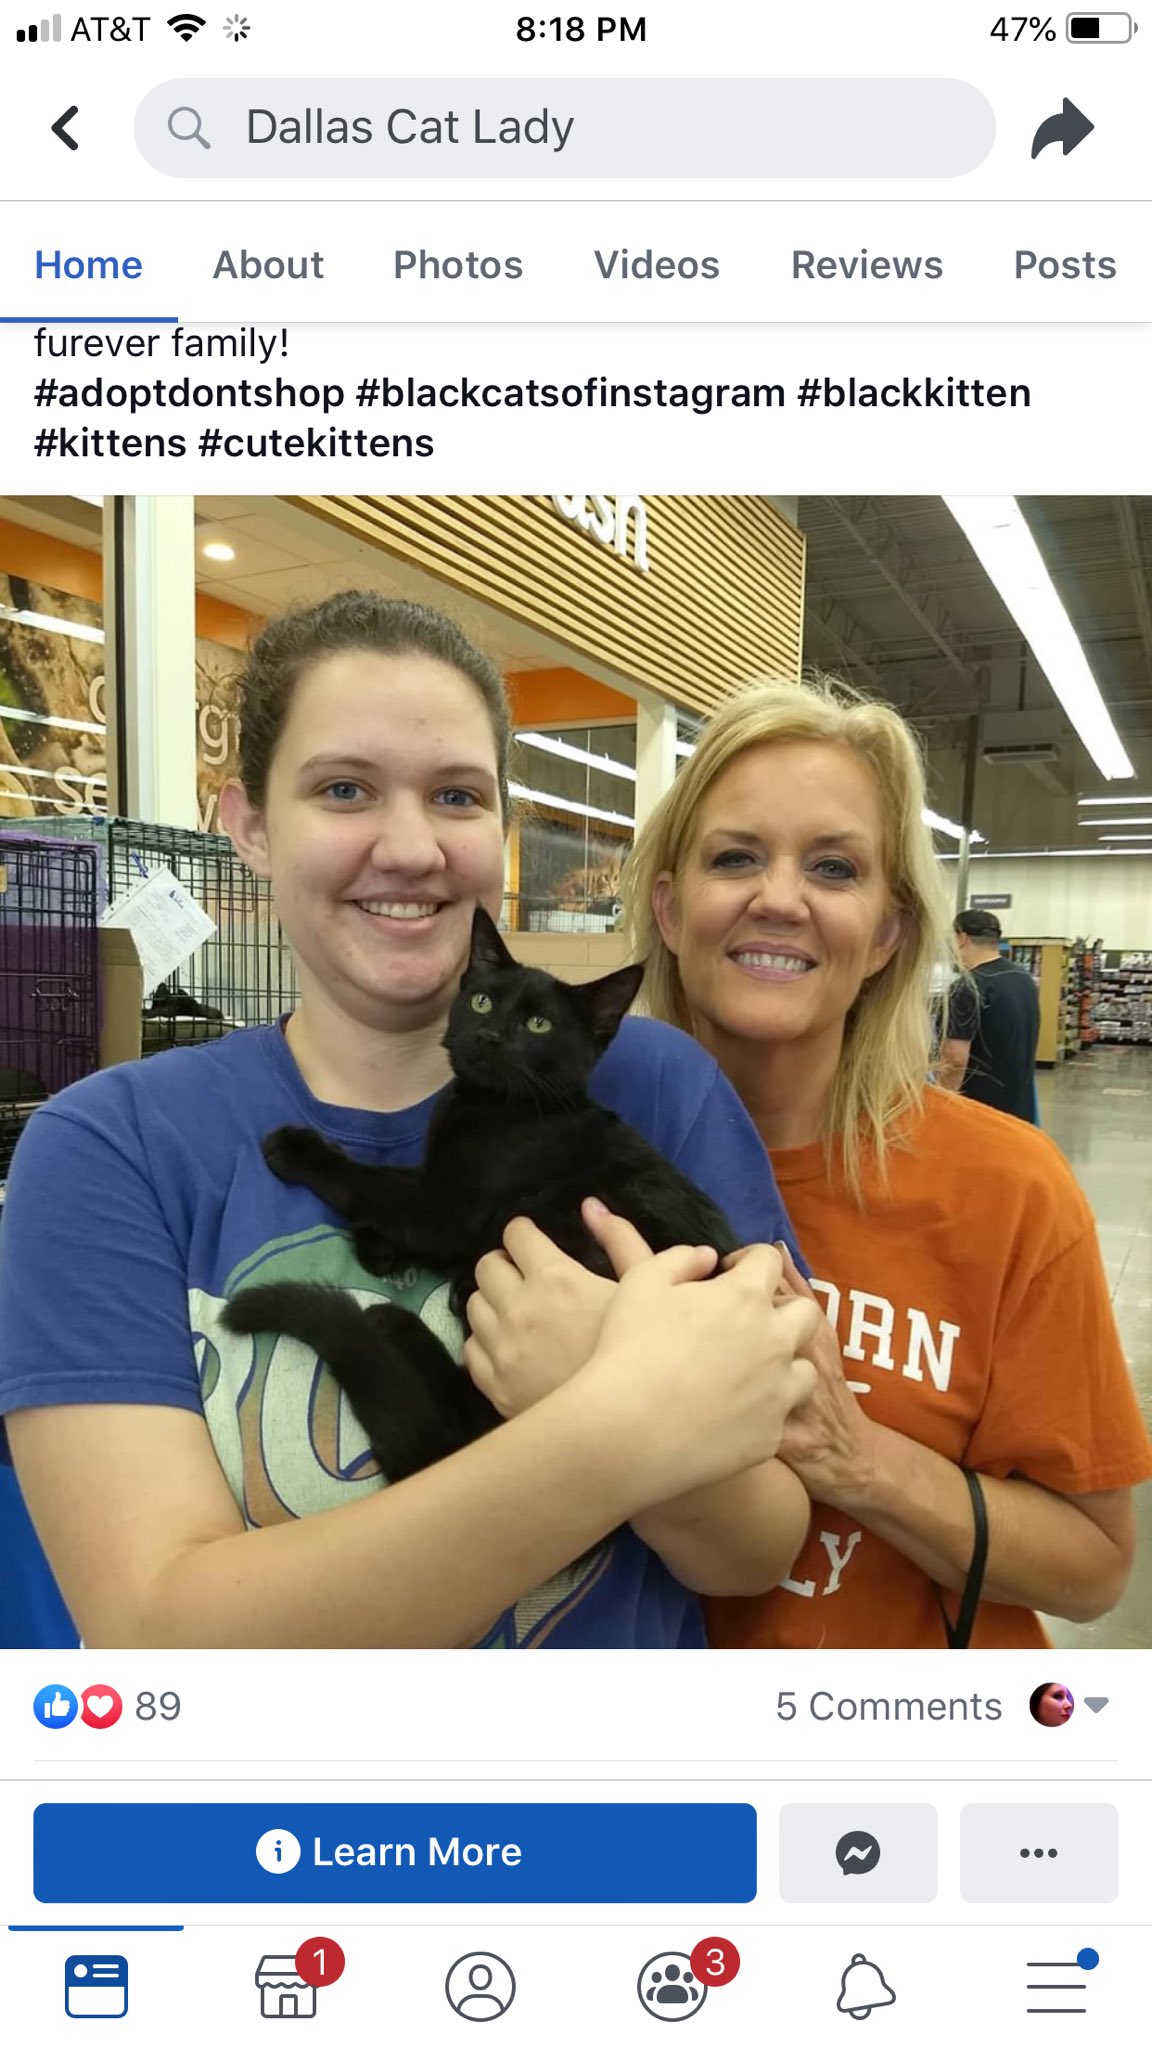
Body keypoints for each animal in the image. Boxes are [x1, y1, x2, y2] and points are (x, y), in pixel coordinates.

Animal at [222, 907, 741, 1484]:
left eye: (539, 1025)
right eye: (482, 1002)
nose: (490, 1036)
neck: (495, 1103)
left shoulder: (447, 1210)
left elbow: (373, 1181)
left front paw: (299, 1151)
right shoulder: (437, 1182)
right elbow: (400, 1176)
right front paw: (379, 1249)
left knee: (470, 1424)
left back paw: (393, 1326)